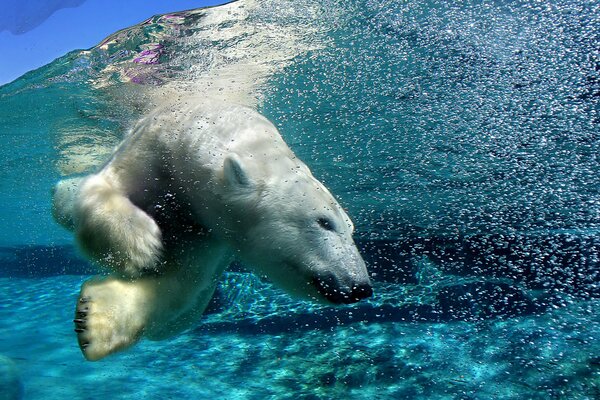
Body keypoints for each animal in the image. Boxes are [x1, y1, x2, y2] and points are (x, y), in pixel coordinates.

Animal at [52, 100, 370, 360]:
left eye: (351, 229)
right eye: (324, 222)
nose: (360, 287)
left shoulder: (210, 233)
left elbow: (182, 281)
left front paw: (94, 319)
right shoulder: (152, 148)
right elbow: (104, 187)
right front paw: (141, 246)